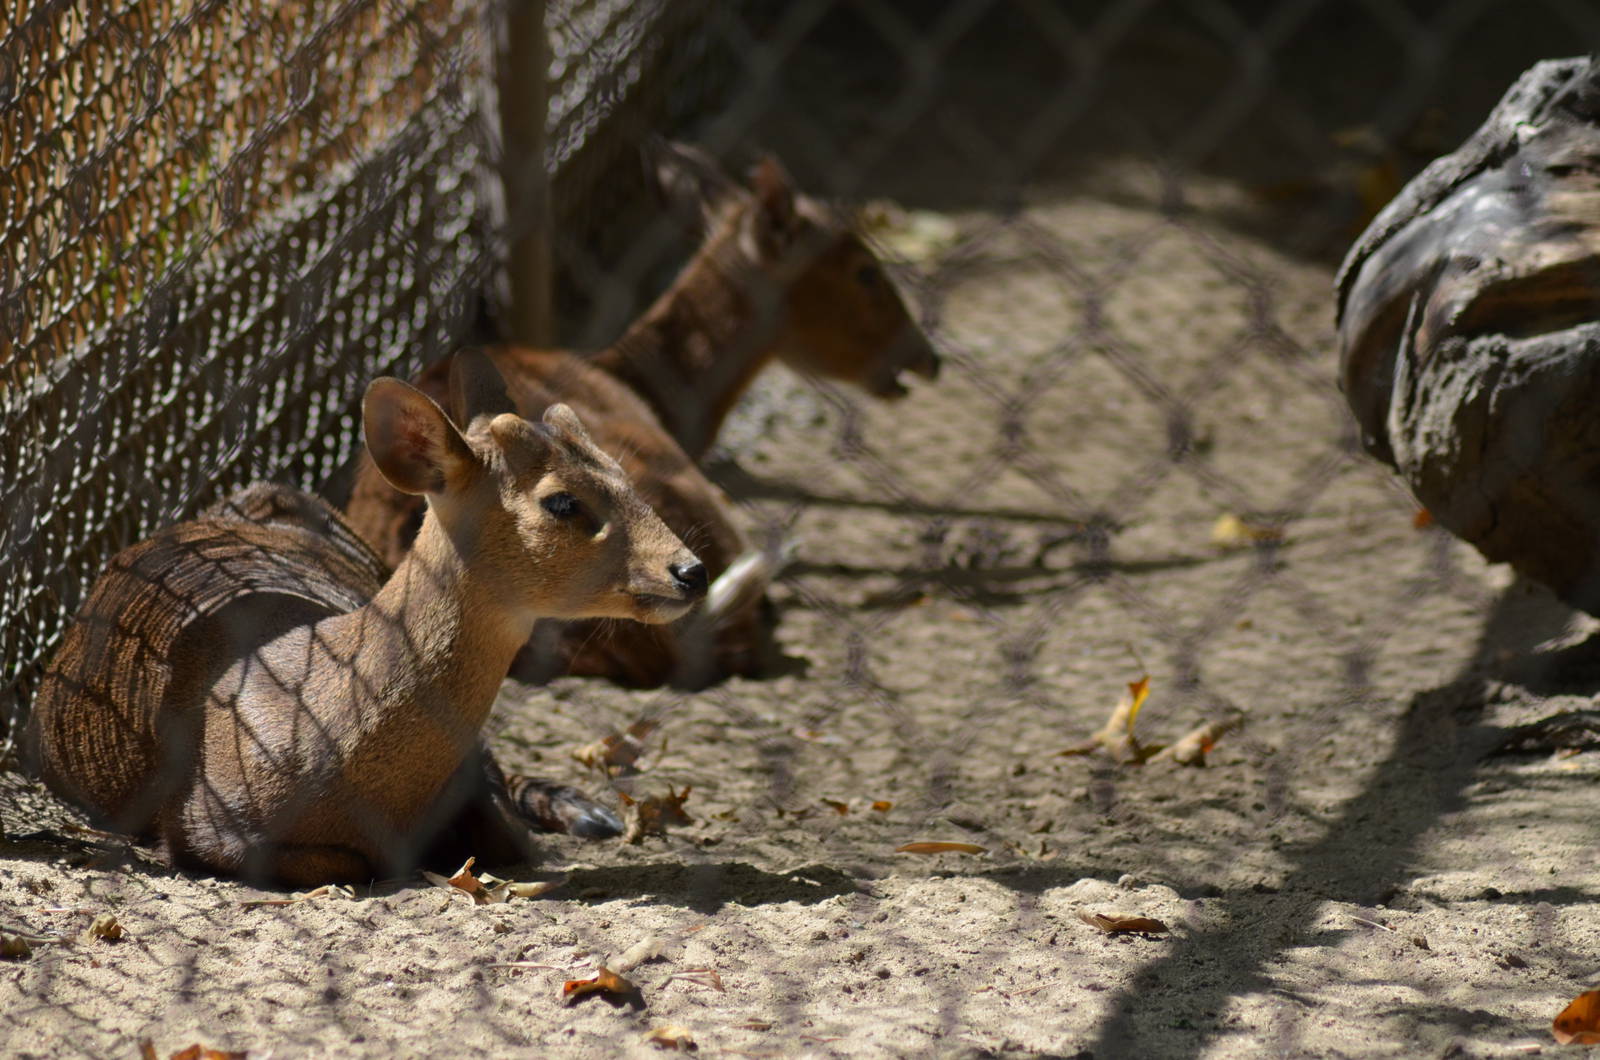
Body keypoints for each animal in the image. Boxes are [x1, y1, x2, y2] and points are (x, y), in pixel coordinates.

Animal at [27, 352, 705, 885]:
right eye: (561, 501)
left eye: (622, 473)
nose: (691, 571)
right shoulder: (204, 826)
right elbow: (348, 861)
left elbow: (512, 840)